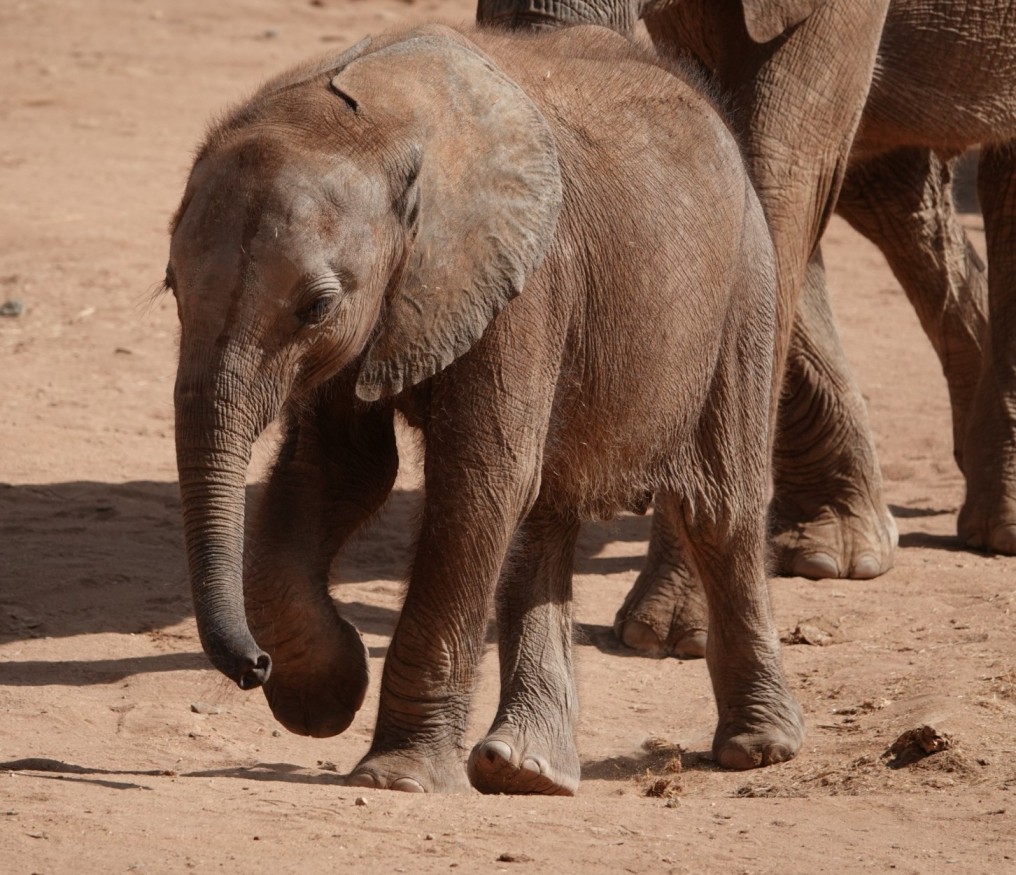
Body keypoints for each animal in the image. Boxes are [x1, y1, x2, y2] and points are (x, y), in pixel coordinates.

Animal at [167, 22, 803, 795]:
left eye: (317, 307)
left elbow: (477, 481)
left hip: (744, 286)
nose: (253, 666)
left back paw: (757, 750)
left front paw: (396, 780)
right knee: (545, 511)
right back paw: (524, 770)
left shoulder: (524, 281)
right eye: (170, 286)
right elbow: (339, 470)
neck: (377, 124)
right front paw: (325, 696)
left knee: (717, 506)